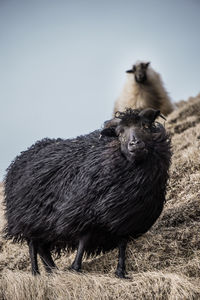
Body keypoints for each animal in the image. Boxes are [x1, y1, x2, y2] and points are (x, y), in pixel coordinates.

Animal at [3, 107, 171, 276]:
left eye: (145, 126)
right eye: (120, 133)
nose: (134, 143)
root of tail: (21, 157)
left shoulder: (125, 217)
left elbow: (122, 244)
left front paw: (121, 272)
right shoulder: (83, 212)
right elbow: (84, 240)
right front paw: (76, 267)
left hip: (43, 224)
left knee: (43, 248)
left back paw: (53, 272)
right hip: (28, 218)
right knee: (33, 245)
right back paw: (36, 272)